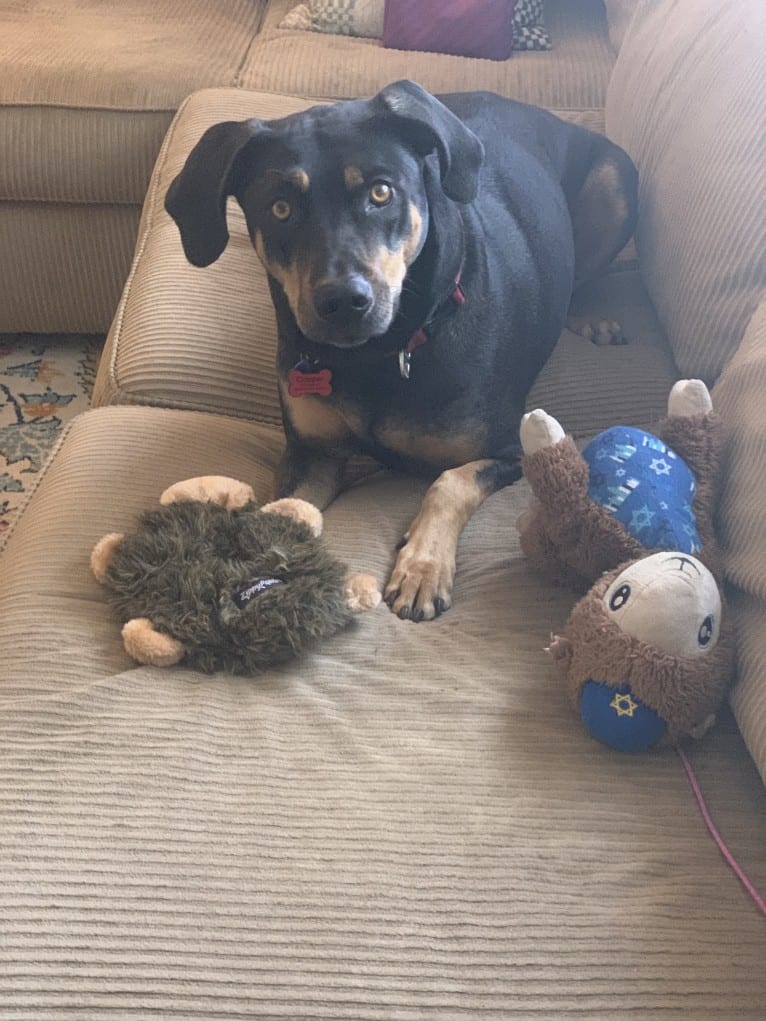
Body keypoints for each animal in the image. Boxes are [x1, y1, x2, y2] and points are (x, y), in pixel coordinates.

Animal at [165, 79, 637, 620]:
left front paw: (422, 568)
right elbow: (283, 513)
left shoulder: (511, 448)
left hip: (616, 183)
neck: (377, 354)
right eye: (280, 207)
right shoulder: (311, 452)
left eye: (381, 192)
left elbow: (450, 481)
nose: (344, 301)